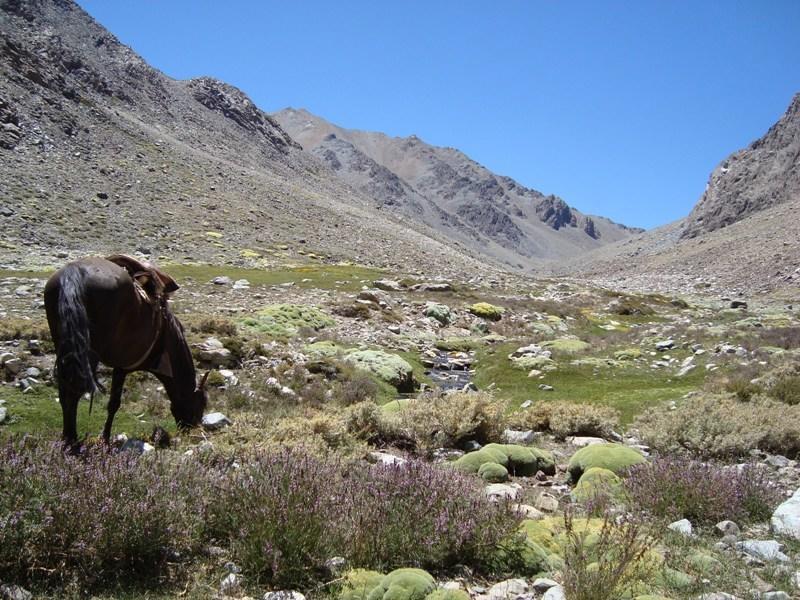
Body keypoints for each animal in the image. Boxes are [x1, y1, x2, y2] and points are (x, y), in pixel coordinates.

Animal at [44, 255, 208, 442]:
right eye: (200, 404)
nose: (193, 429)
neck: (166, 339)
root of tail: (74, 272)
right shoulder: (123, 367)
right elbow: (114, 404)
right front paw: (106, 439)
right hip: (90, 351)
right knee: (74, 390)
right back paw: (72, 439)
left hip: (62, 345)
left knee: (65, 390)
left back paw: (67, 438)